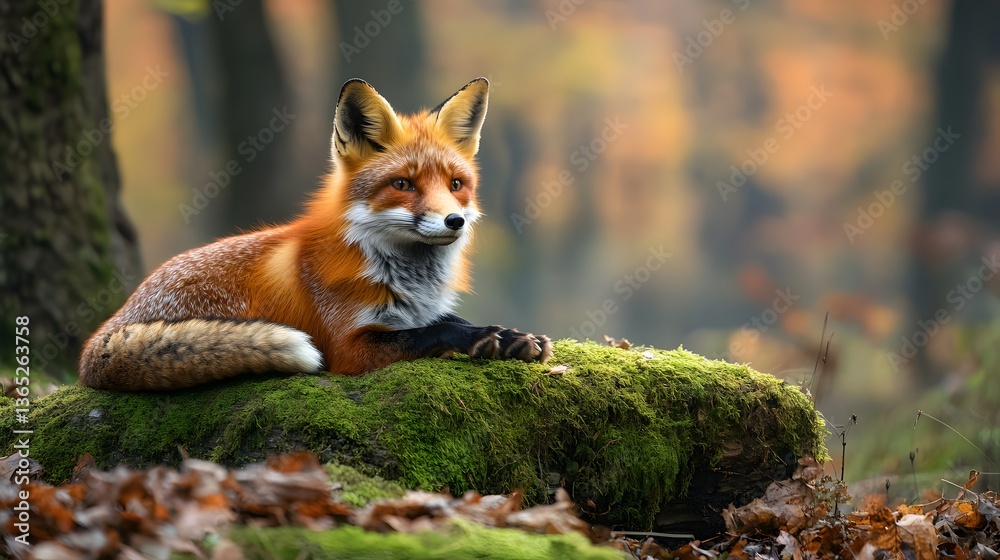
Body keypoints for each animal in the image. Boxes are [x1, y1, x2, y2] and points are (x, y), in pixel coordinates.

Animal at [79, 77, 552, 391]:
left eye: (456, 184)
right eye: (403, 184)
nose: (455, 221)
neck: (404, 276)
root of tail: (97, 341)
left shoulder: (414, 311)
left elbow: (447, 319)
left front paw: (511, 337)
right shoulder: (350, 346)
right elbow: (427, 334)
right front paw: (479, 339)